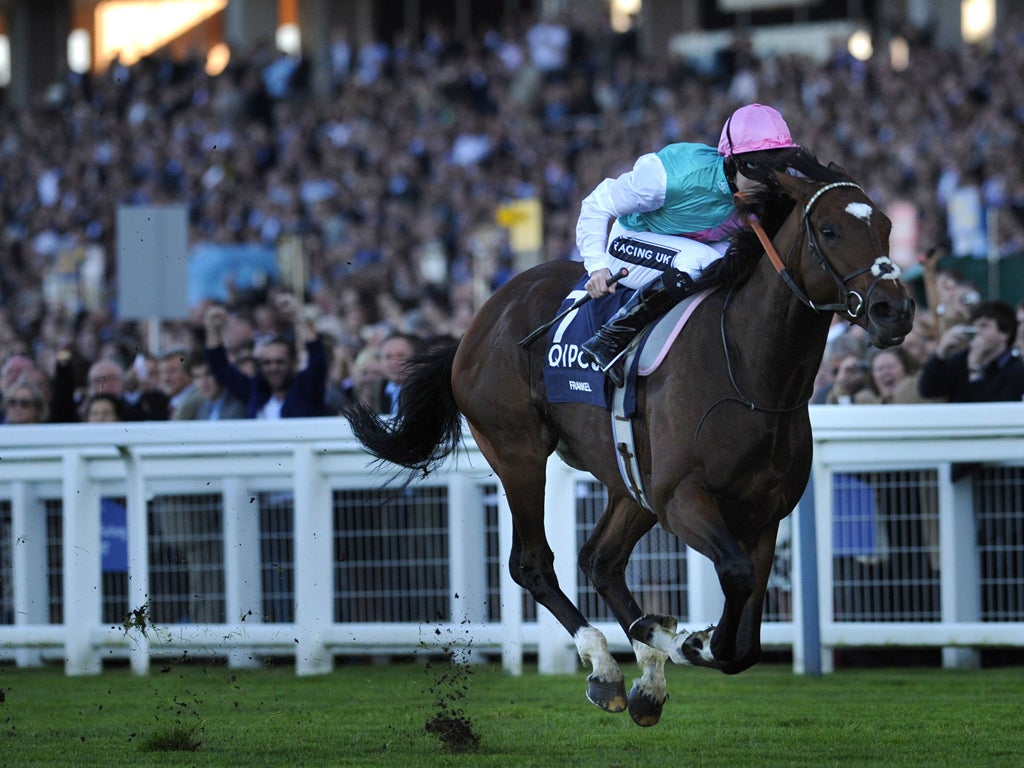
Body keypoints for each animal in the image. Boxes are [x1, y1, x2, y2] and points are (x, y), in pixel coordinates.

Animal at [344, 166, 913, 729]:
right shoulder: (683, 500)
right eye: (831, 231)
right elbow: (732, 583)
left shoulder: (763, 515)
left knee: (601, 560)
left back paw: (644, 680)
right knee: (532, 562)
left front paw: (674, 642)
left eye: (887, 226)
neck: (751, 372)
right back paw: (606, 665)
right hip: (518, 452)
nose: (895, 310)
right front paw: (683, 639)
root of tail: (476, 324)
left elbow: (744, 644)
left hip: (629, 480)